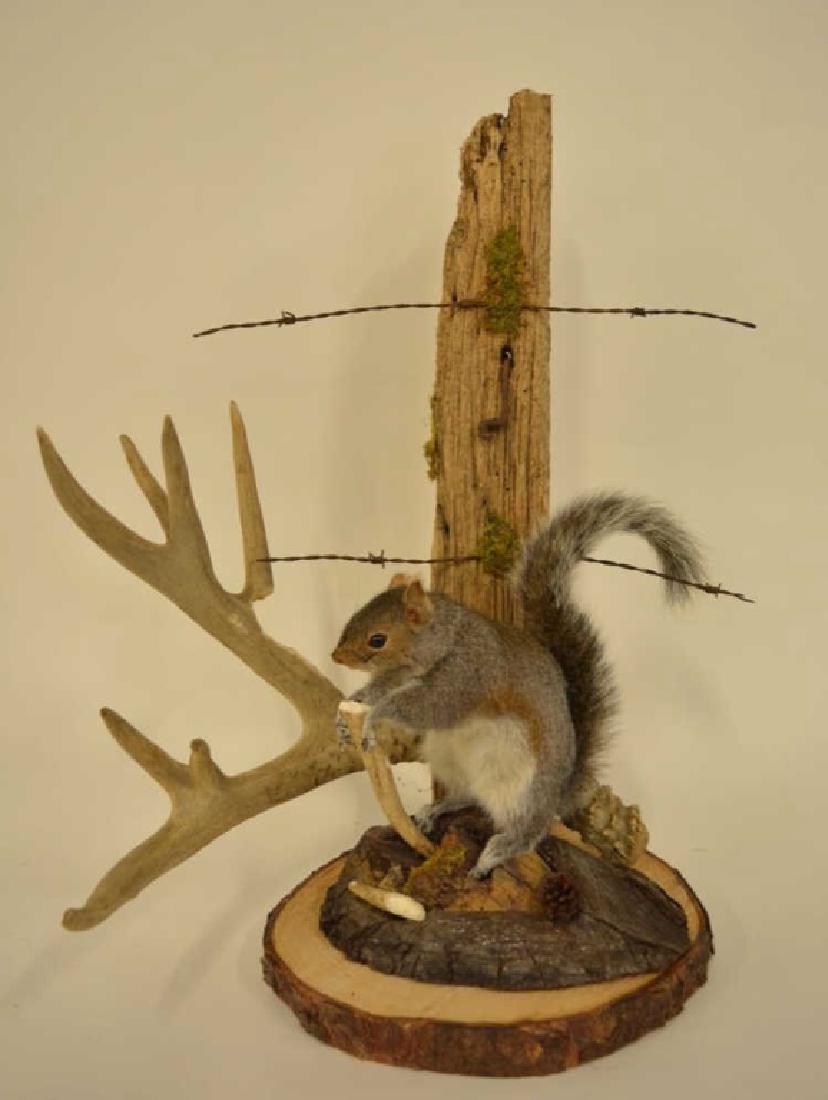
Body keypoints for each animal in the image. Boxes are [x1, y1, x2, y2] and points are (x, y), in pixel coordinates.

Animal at [331, 492, 706, 879]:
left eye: (377, 640)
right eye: (355, 616)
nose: (335, 656)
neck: (446, 639)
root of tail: (558, 795)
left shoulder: (467, 675)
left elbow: (430, 707)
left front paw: (373, 718)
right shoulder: (403, 675)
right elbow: (381, 688)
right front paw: (347, 714)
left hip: (519, 791)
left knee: (525, 834)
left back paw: (491, 856)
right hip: (450, 761)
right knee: (468, 796)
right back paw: (436, 809)